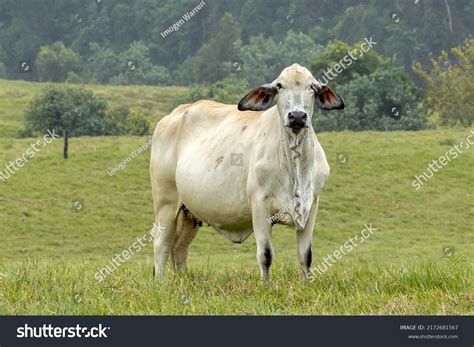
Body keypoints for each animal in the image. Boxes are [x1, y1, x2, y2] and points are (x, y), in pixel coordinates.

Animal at [151, 63, 344, 280]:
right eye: (279, 86)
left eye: (312, 86)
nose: (297, 116)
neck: (294, 162)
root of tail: (176, 112)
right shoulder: (259, 205)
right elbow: (265, 255)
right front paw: (266, 285)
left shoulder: (311, 204)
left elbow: (306, 255)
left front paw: (307, 283)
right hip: (166, 201)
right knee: (161, 243)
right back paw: (161, 282)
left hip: (188, 211)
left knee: (179, 247)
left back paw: (184, 280)